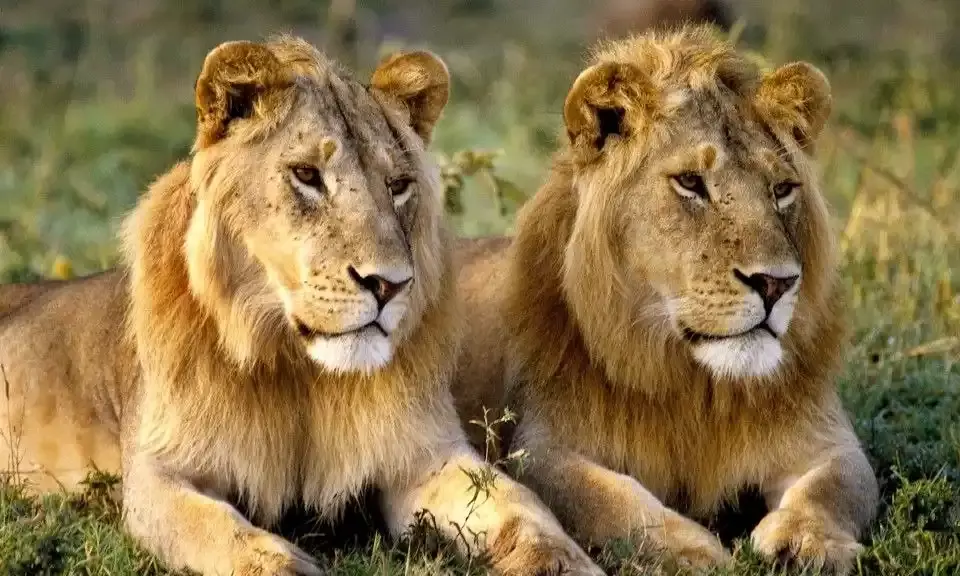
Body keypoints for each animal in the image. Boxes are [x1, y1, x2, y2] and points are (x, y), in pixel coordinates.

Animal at [0, 36, 603, 576]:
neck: (300, 371)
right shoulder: (159, 475)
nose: (389, 285)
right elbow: (223, 534)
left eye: (399, 185)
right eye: (307, 176)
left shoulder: (424, 456)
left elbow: (525, 510)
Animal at [452, 26, 879, 574]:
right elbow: (613, 500)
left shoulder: (827, 438)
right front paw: (692, 550)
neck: (694, 383)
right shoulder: (544, 449)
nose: (776, 283)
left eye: (782, 189)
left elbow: (833, 486)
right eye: (690, 183)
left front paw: (808, 542)